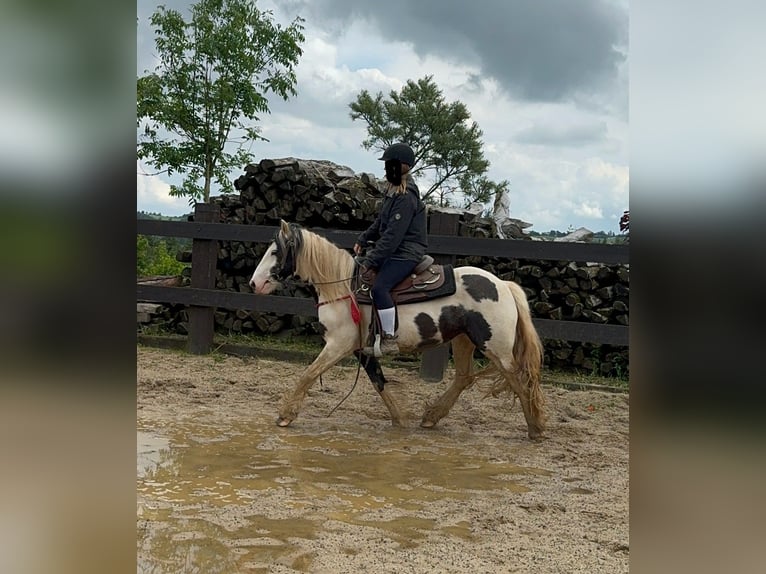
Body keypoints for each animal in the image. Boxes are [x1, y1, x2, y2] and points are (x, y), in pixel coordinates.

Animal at [249, 220, 548, 440]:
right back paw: (431, 417)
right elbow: (379, 382)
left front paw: (286, 414)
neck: (343, 288)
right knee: (464, 377)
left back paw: (535, 428)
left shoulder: (338, 344)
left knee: (518, 380)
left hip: (495, 347)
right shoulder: (361, 349)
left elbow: (308, 374)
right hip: (464, 340)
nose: (254, 284)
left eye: (275, 252)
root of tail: (503, 285)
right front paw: (401, 419)